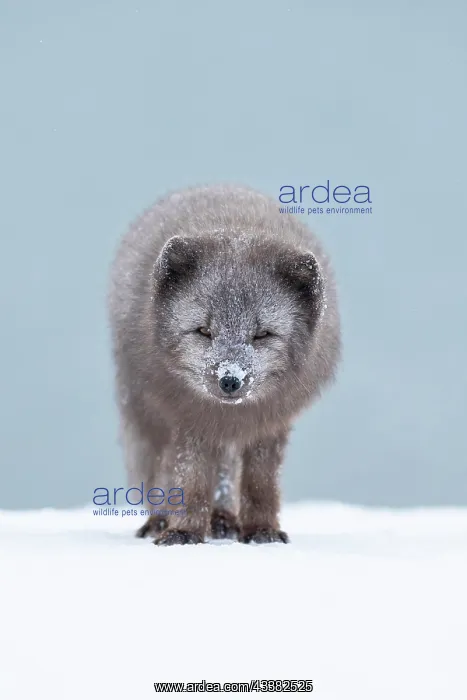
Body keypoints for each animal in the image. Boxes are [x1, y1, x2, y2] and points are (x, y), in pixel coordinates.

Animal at [108, 184, 341, 545]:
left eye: (262, 334)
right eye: (204, 331)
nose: (230, 379)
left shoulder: (270, 423)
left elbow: (261, 483)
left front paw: (262, 530)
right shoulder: (188, 418)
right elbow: (189, 478)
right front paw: (183, 531)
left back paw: (222, 519)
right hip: (145, 418)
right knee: (159, 471)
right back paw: (161, 521)